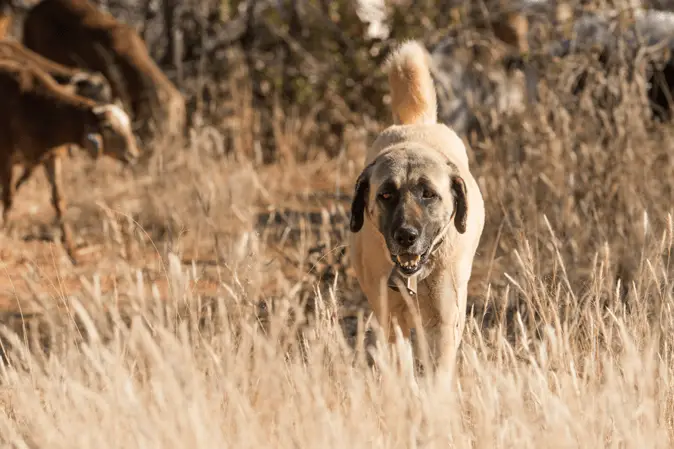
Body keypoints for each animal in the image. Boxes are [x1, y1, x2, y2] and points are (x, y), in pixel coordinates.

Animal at [0, 59, 138, 262]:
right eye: (108, 127)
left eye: (127, 125)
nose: (132, 154)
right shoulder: (6, 157)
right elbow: (9, 197)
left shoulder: (51, 157)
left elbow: (59, 200)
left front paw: (72, 251)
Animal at [346, 40, 484, 376]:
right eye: (386, 194)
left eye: (428, 194)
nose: (406, 236)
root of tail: (415, 124)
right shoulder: (392, 320)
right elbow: (402, 367)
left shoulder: (444, 323)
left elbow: (438, 374)